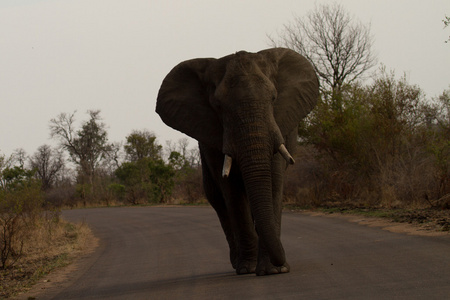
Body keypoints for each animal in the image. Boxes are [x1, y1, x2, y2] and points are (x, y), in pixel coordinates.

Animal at [156, 48, 318, 276]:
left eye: (273, 98)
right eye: (218, 106)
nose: (281, 262)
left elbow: (274, 181)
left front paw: (273, 270)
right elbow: (231, 190)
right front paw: (249, 268)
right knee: (218, 199)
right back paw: (238, 262)